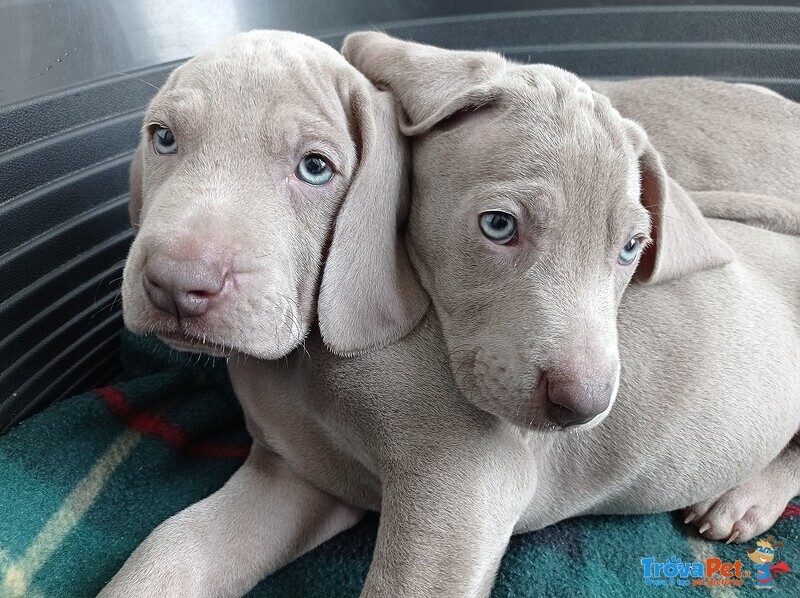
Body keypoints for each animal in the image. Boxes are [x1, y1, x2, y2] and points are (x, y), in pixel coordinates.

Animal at [104, 30, 800, 598]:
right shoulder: (298, 477)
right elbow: (170, 547)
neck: (305, 365)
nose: (177, 285)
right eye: (163, 138)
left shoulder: (461, 489)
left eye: (315, 167)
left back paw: (744, 500)